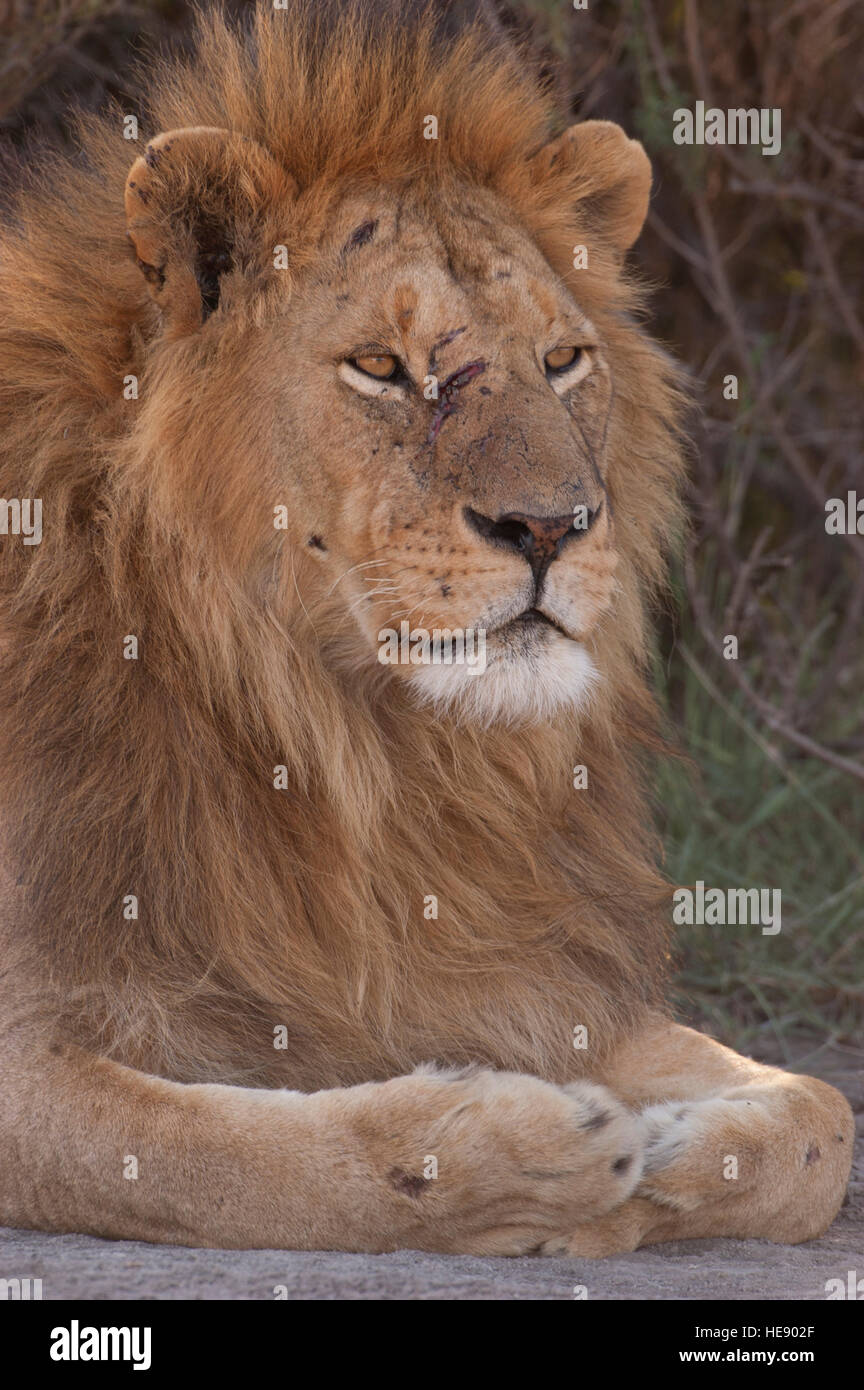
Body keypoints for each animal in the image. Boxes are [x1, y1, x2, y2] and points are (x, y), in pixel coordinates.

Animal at [0, 0, 855, 1262]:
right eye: (382, 368)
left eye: (563, 359)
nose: (552, 525)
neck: (345, 744)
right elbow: (226, 1157)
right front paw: (528, 1157)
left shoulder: (475, 957)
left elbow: (823, 1119)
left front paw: (679, 1156)